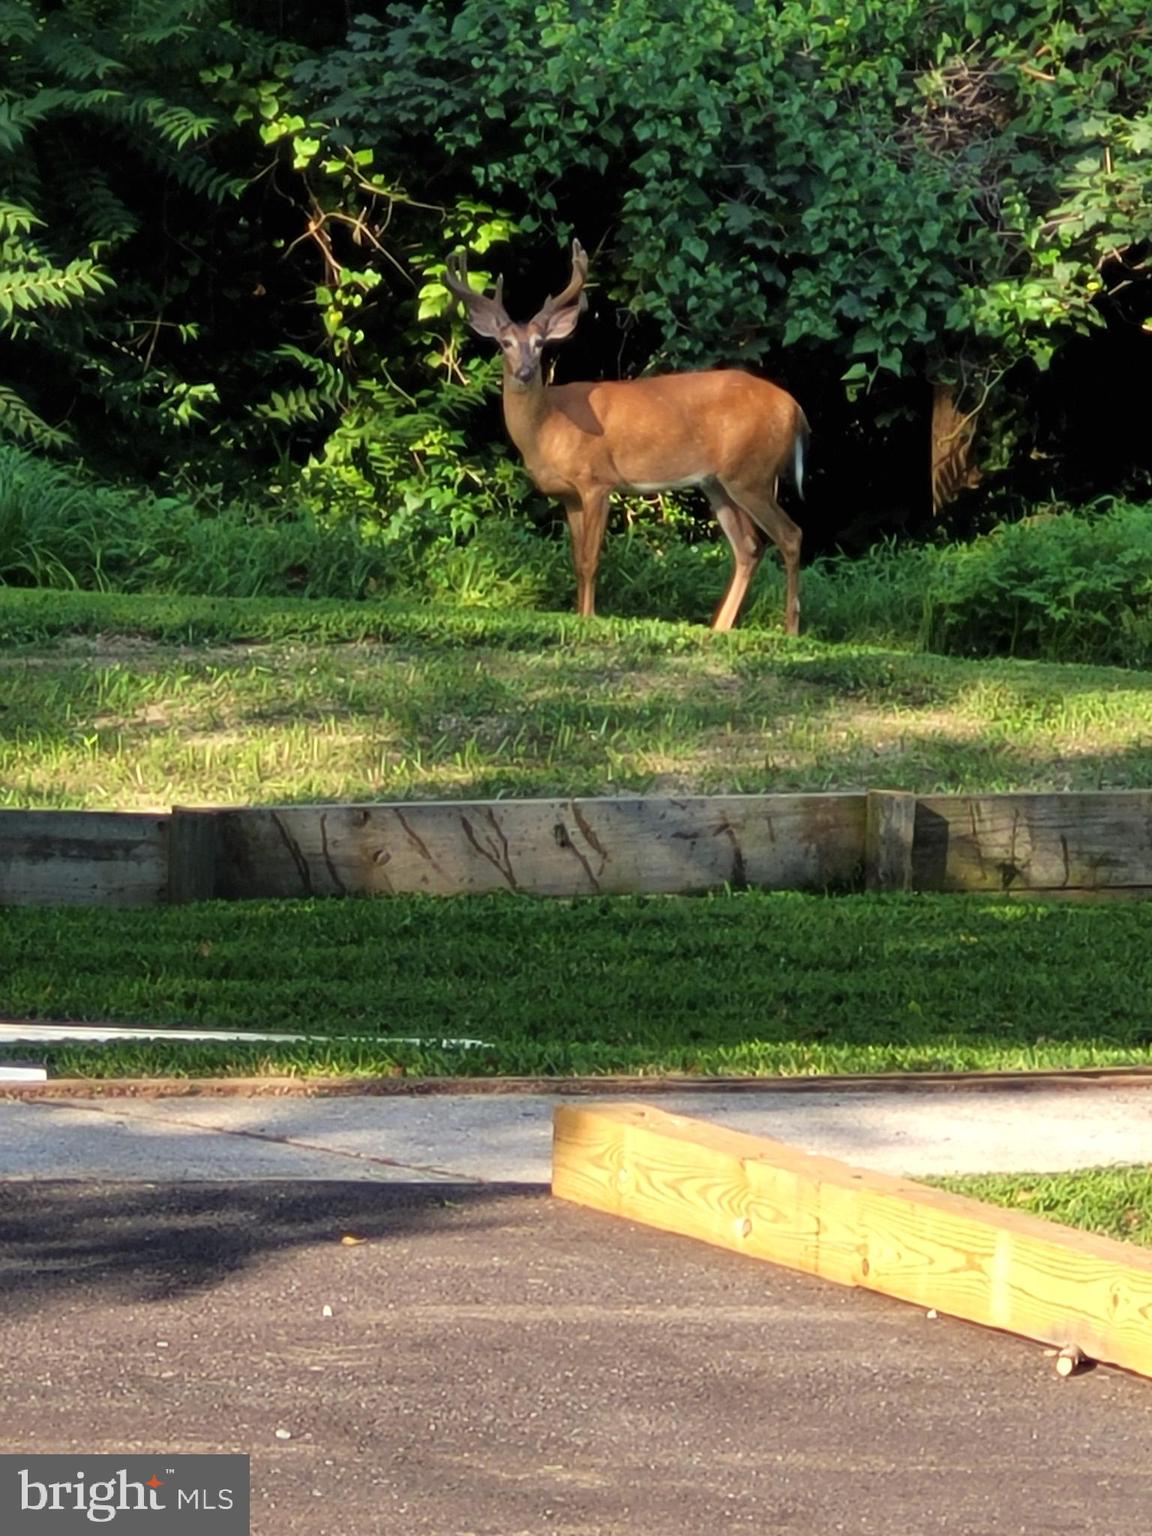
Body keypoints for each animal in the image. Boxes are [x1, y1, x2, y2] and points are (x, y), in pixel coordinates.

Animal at [442, 240, 809, 634]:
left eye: (540, 343)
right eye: (505, 343)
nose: (524, 372)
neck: (547, 426)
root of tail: (795, 409)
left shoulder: (597, 481)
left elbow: (590, 560)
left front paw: (588, 618)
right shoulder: (569, 495)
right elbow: (576, 561)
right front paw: (580, 615)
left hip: (752, 473)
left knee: (790, 535)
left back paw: (790, 629)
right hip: (719, 482)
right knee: (748, 547)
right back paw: (719, 628)